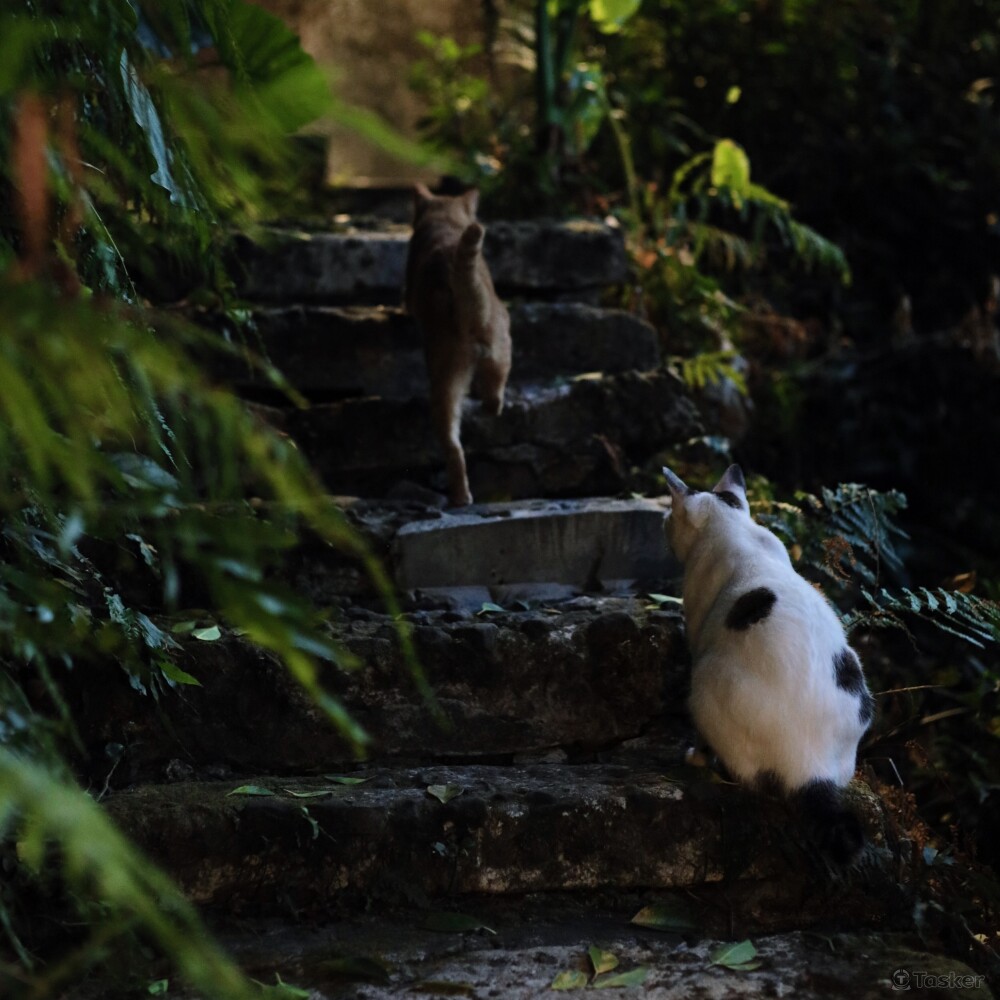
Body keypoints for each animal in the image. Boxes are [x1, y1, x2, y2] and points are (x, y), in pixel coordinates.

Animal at [662, 463, 876, 862]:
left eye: (670, 514)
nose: (664, 522)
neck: (735, 527)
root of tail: (810, 765)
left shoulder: (696, 627)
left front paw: (694, 755)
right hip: (857, 681)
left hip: (705, 684)